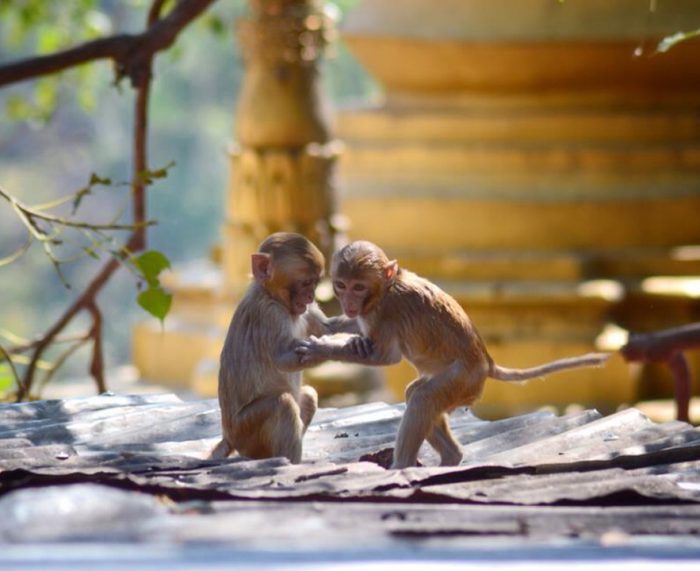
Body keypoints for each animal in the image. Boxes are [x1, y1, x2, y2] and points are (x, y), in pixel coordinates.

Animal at [209, 232, 370, 464]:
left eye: (315, 283)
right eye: (306, 282)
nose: (311, 296)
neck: (273, 296)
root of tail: (228, 437)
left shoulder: (305, 310)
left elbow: (328, 327)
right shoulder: (269, 315)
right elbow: (284, 358)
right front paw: (330, 345)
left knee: (308, 396)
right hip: (245, 433)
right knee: (282, 404)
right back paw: (288, 462)